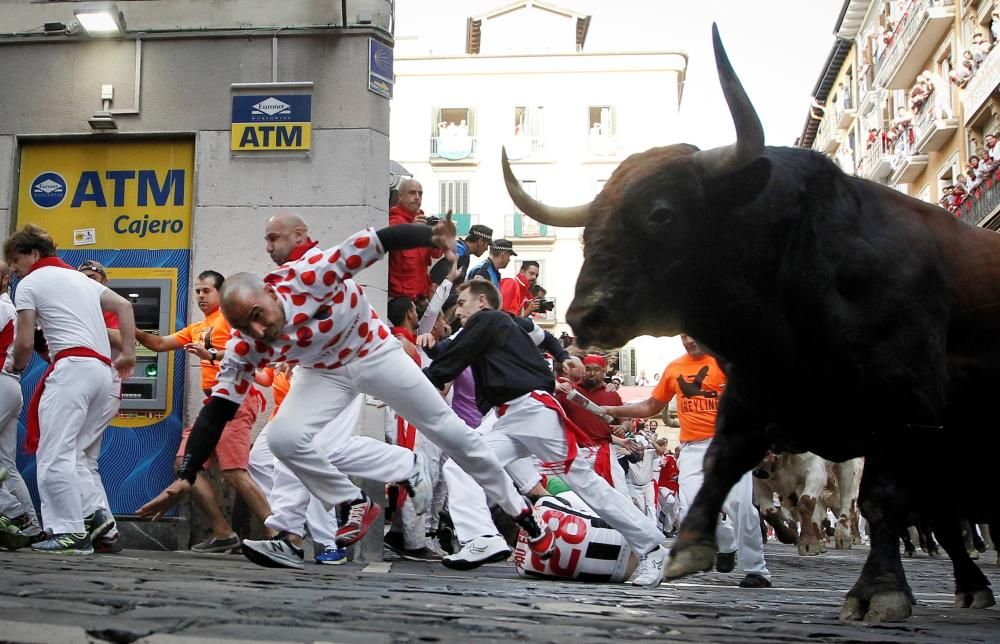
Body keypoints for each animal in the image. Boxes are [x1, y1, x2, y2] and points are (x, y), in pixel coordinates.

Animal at [504, 25, 1000, 624]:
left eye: (662, 213)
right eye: (589, 227)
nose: (584, 314)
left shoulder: (900, 414)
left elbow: (874, 502)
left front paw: (877, 589)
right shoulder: (754, 399)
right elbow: (725, 466)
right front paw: (695, 546)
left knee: (899, 510)